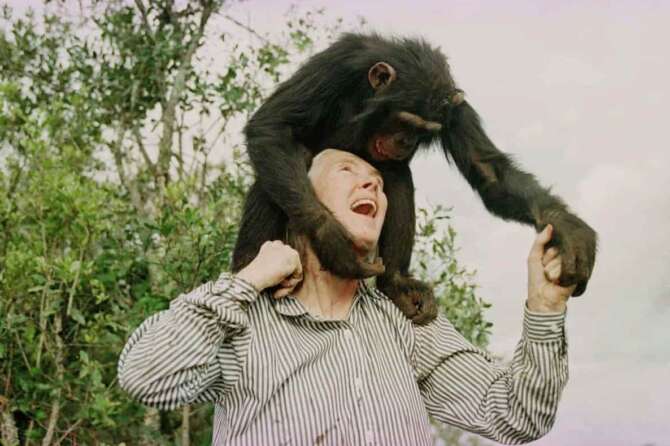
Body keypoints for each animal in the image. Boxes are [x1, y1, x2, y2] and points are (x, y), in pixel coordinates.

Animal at [230, 33, 597, 324]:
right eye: (405, 121)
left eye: (424, 131)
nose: (405, 141)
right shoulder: (336, 64)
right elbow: (272, 125)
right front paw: (333, 243)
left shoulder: (455, 110)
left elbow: (488, 170)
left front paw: (568, 229)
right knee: (275, 177)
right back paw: (248, 265)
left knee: (397, 175)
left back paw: (396, 282)